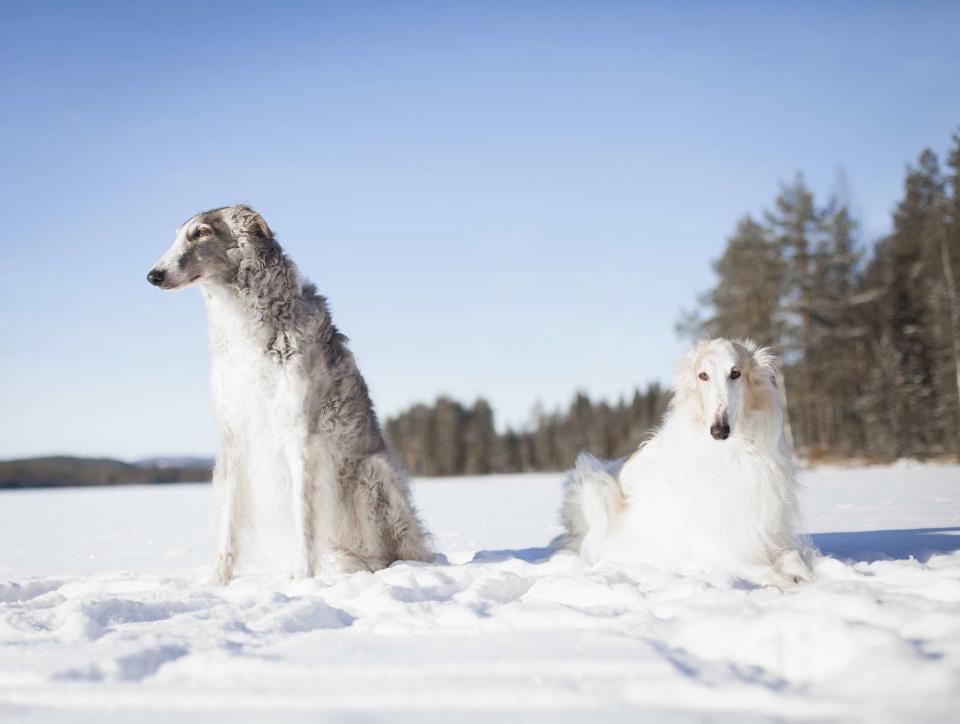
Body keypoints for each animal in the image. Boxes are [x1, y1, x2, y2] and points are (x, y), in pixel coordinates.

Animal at [149, 204, 432, 584]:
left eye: (201, 232)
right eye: (178, 235)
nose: (153, 275)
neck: (245, 328)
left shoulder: (301, 435)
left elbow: (304, 519)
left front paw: (303, 578)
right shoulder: (234, 434)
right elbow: (227, 524)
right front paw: (219, 582)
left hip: (374, 473)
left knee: (388, 553)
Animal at [560, 338, 812, 584]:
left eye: (736, 373)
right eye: (703, 375)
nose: (719, 431)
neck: (733, 451)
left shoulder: (769, 529)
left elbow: (791, 556)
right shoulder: (714, 549)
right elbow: (762, 570)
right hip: (592, 483)